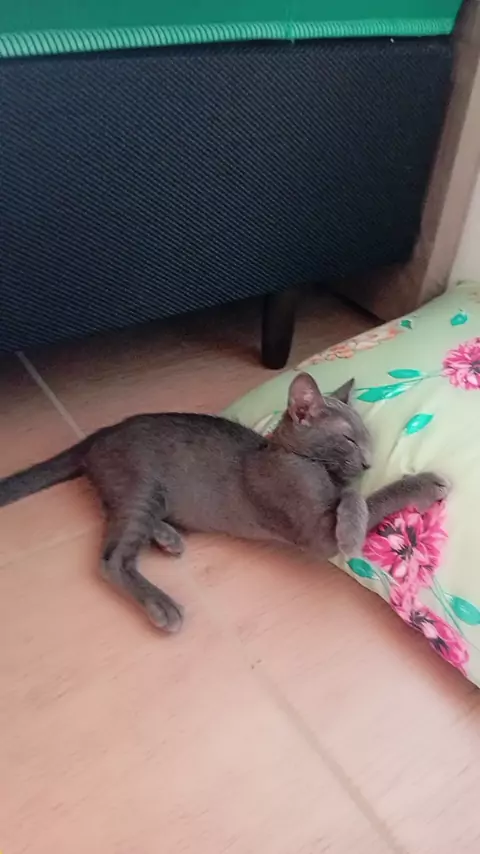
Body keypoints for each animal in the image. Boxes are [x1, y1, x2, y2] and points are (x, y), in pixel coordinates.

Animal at [0, 373, 448, 631]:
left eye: (367, 437)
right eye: (349, 439)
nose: (370, 460)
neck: (296, 458)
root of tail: (98, 435)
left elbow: (352, 492)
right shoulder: (316, 532)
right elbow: (360, 497)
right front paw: (413, 489)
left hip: (146, 495)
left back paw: (167, 537)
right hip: (141, 485)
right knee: (111, 559)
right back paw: (161, 604)